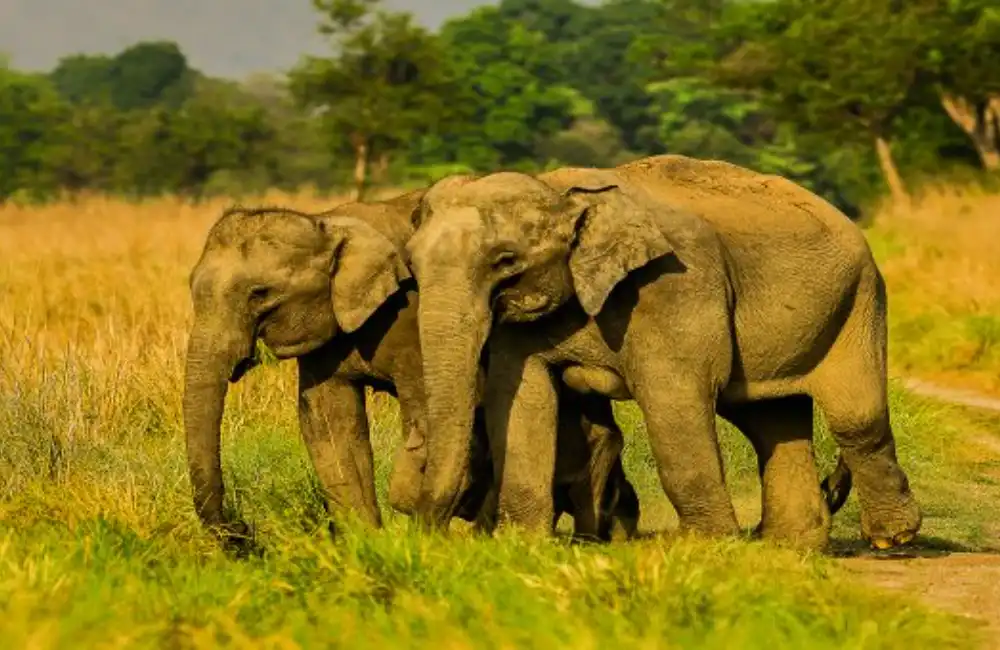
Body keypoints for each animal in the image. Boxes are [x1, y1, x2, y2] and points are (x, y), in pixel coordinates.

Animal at [181, 192, 640, 548]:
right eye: (192, 289)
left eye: (260, 294)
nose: (244, 532)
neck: (328, 224)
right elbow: (328, 424)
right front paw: (365, 545)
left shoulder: (410, 316)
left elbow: (428, 411)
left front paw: (417, 508)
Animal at [402, 153, 916, 552]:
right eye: (411, 264)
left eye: (506, 261)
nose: (430, 533)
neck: (560, 189)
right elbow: (524, 400)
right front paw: (522, 544)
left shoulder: (673, 284)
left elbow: (674, 401)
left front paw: (707, 547)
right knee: (772, 421)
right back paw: (792, 545)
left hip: (859, 298)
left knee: (855, 417)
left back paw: (891, 537)